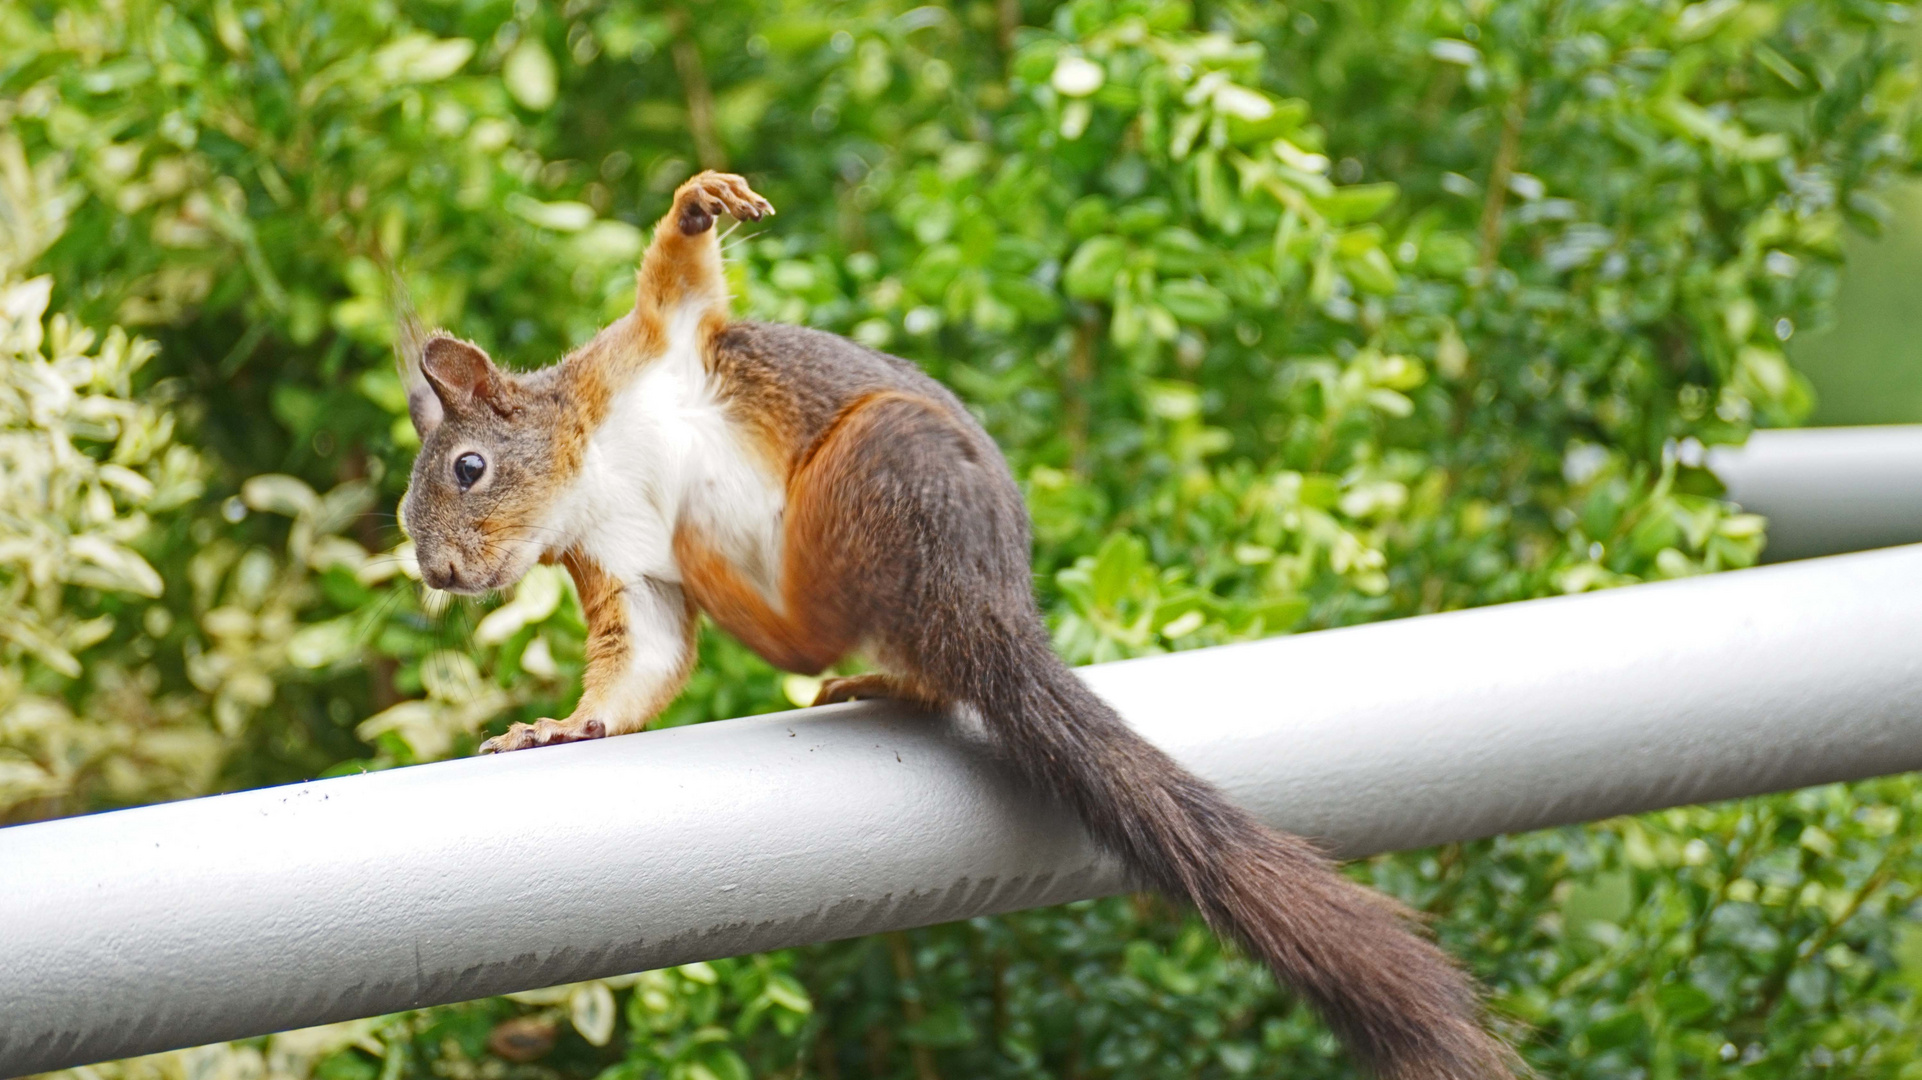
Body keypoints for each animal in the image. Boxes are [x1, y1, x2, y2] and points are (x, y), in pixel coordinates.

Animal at [397, 170, 1514, 1076]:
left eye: (468, 469)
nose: (441, 572)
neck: (592, 469)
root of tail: (992, 613)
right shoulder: (626, 569)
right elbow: (642, 662)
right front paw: (560, 728)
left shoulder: (650, 351)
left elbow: (678, 282)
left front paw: (698, 203)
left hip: (877, 466)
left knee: (820, 628)